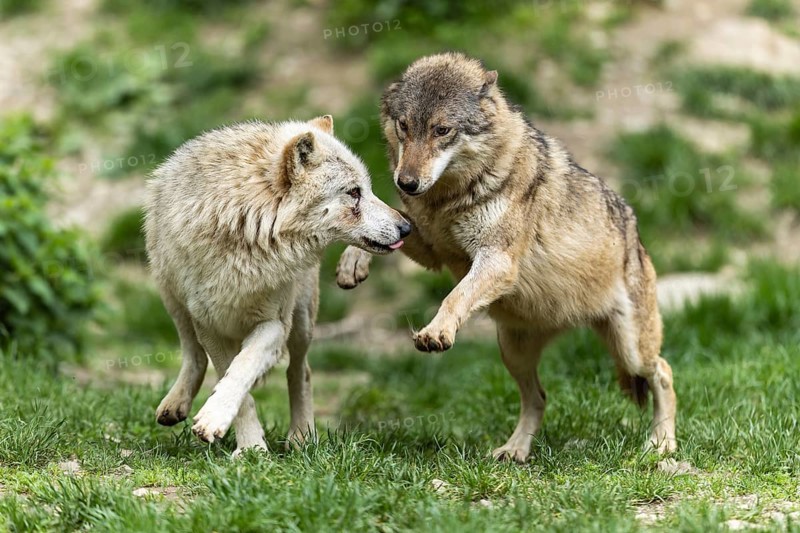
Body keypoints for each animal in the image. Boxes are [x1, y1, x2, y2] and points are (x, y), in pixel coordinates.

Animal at [145, 116, 410, 455]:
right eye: (354, 192)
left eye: (367, 189)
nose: (407, 227)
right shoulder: (210, 326)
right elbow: (238, 387)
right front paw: (249, 447)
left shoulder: (275, 323)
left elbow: (243, 368)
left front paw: (225, 426)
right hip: (174, 303)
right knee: (193, 354)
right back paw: (175, 403)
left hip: (301, 322)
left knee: (301, 371)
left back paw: (301, 437)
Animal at [337, 53, 677, 462]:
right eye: (404, 126)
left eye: (442, 130)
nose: (407, 183)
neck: (448, 199)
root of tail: (636, 236)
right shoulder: (432, 249)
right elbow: (391, 223)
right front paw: (352, 262)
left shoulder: (496, 260)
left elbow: (453, 298)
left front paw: (436, 332)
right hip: (513, 352)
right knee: (539, 398)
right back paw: (515, 450)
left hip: (630, 351)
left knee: (664, 372)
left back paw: (661, 444)